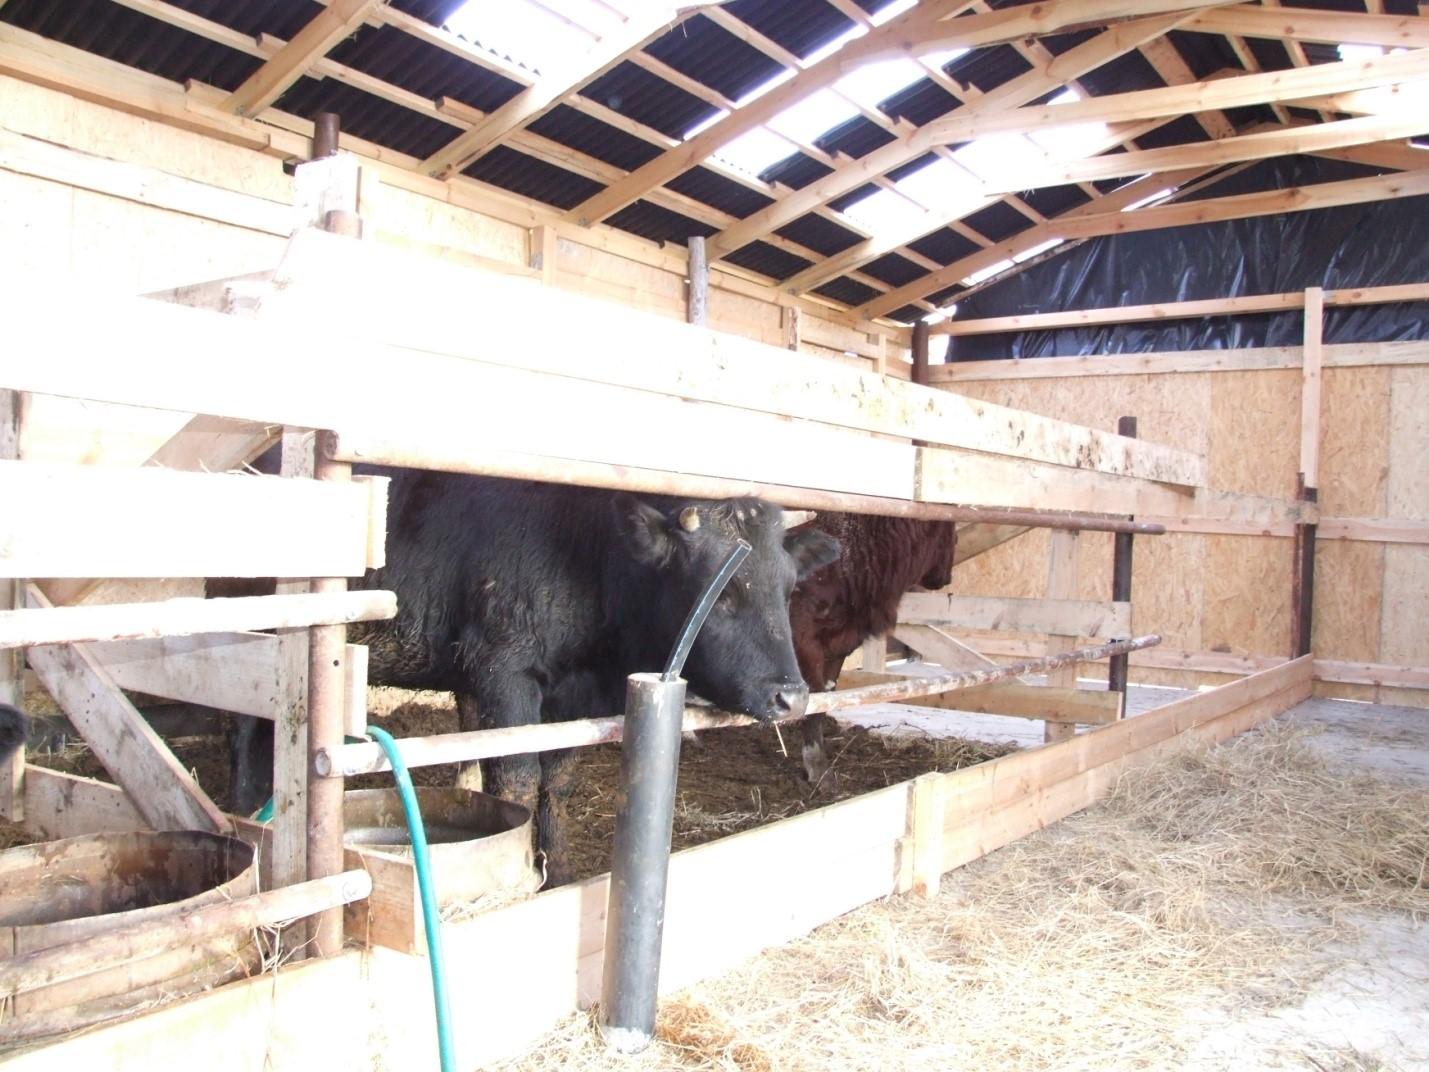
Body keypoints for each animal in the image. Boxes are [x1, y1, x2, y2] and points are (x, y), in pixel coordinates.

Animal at [788, 517, 954, 783]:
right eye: (952, 530)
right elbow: (814, 697)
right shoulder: (803, 640)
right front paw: (816, 767)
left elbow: (826, 696)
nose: (946, 576)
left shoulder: (838, 646)